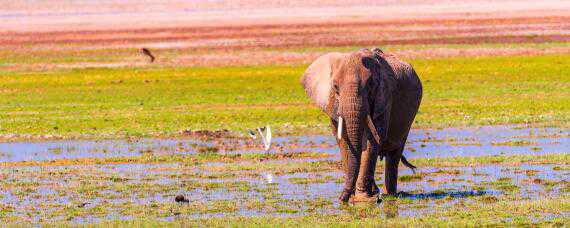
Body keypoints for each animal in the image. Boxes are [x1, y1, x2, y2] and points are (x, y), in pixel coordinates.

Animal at [300, 48, 420, 203]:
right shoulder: (332, 104)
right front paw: (356, 197)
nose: (341, 199)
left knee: (394, 153)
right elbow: (343, 141)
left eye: (370, 86)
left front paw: (363, 198)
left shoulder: (385, 98)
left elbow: (371, 142)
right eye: (335, 87)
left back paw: (390, 194)